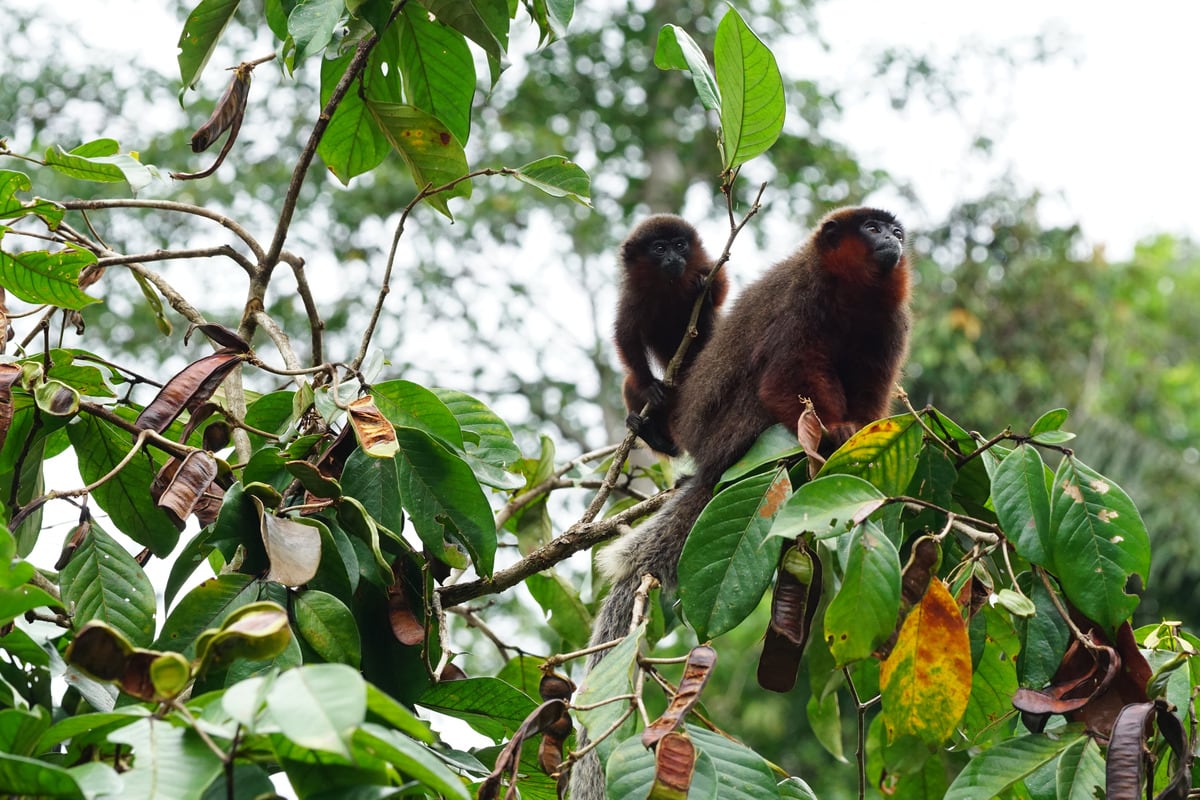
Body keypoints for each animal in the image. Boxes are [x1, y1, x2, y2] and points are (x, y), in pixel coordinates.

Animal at [614, 214, 724, 455]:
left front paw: (705, 297)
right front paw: (649, 387)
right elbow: (626, 335)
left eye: (680, 245)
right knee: (629, 382)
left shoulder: (709, 268)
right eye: (660, 249)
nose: (673, 258)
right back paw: (657, 439)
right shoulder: (633, 296)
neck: (669, 286)